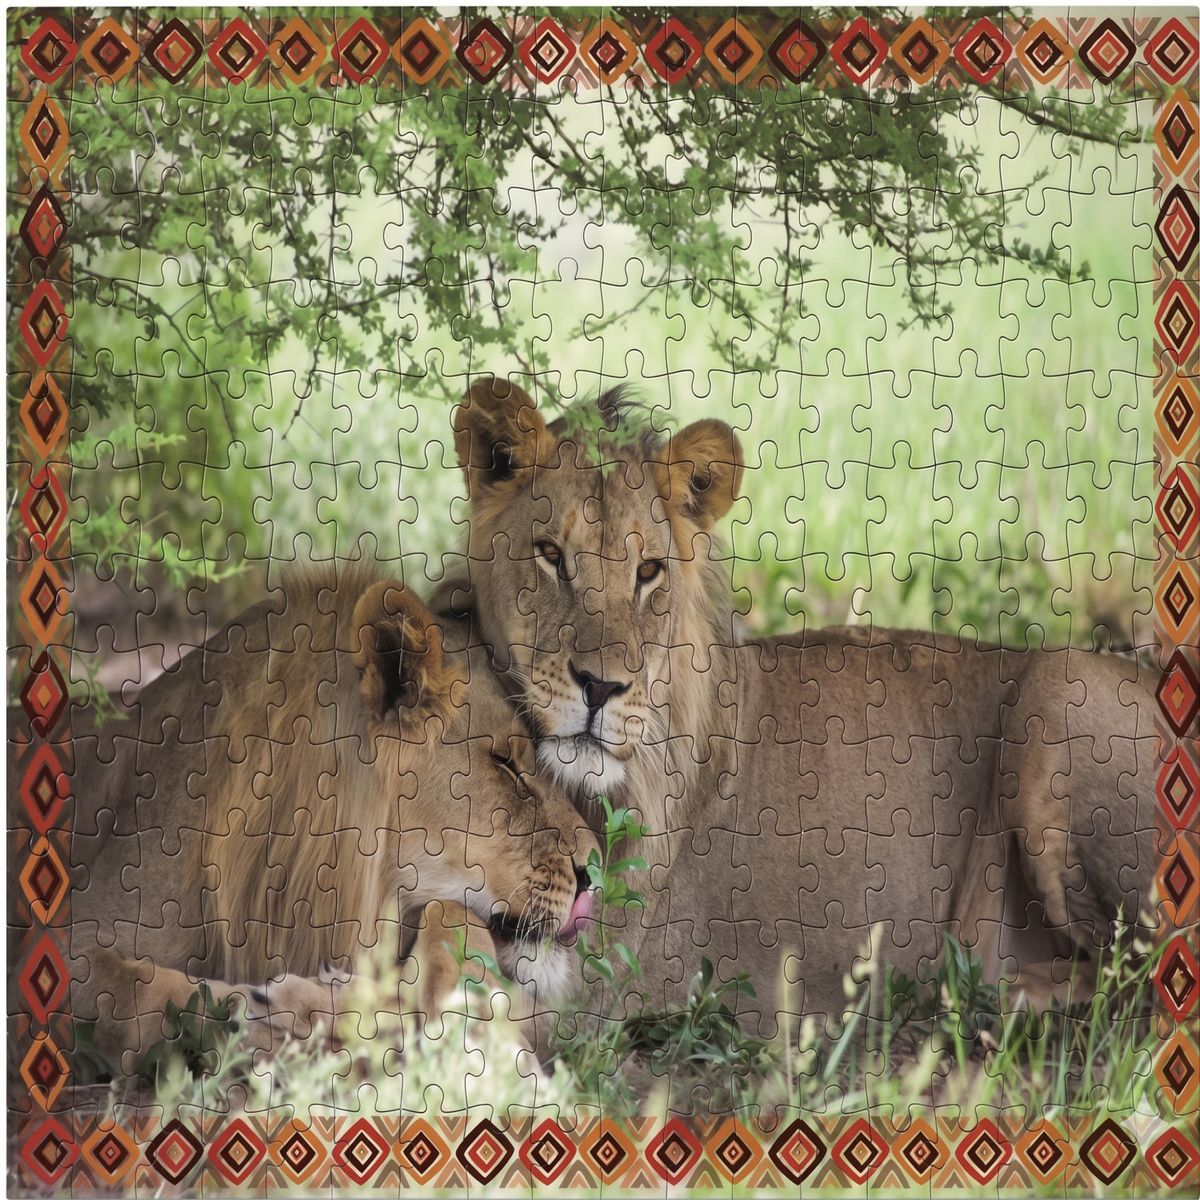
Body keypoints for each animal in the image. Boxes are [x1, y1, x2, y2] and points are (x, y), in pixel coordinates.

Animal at [49, 569, 599, 1071]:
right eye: (504, 763)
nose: (595, 870)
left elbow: (450, 926)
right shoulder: (71, 934)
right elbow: (140, 992)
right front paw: (260, 1018)